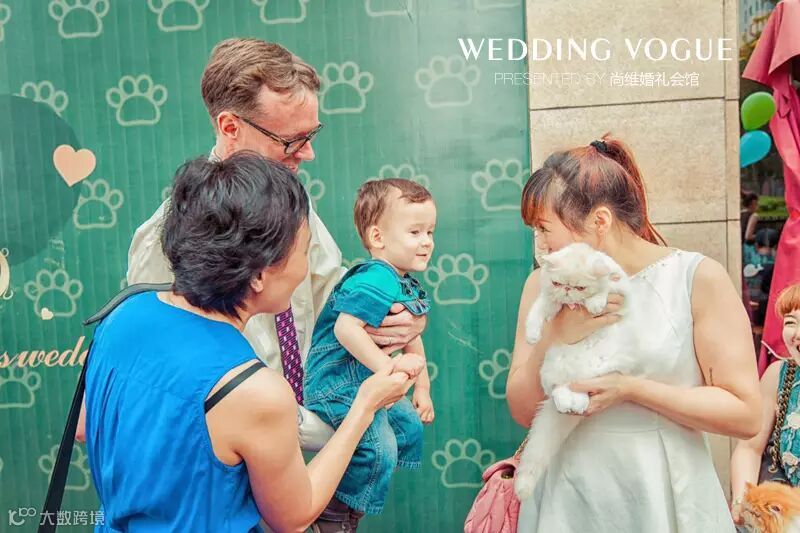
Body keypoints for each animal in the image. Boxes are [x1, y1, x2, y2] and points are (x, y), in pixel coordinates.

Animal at [515, 242, 639, 500]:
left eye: (580, 287)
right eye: (557, 283)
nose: (567, 291)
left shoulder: (622, 289)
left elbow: (607, 288)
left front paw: (595, 302)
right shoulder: (547, 298)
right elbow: (537, 313)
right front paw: (533, 335)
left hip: (597, 371)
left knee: (580, 390)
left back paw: (577, 404)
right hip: (552, 366)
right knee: (559, 389)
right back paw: (568, 404)